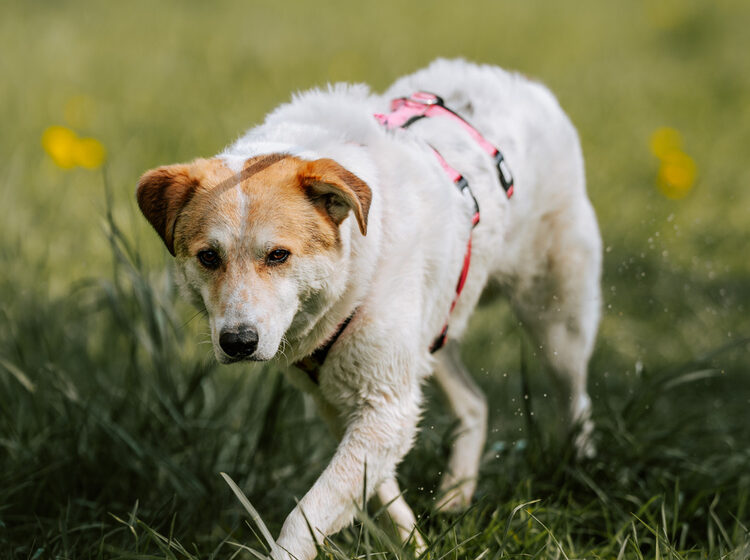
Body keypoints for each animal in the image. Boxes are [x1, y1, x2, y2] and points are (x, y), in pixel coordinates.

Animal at [136, 58, 602, 560]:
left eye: (278, 255)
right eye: (208, 257)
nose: (238, 342)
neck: (356, 271)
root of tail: (519, 82)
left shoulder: (383, 403)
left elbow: (307, 513)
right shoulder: (340, 402)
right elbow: (373, 490)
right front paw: (415, 544)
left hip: (558, 317)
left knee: (576, 395)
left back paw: (581, 470)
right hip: (431, 331)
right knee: (475, 403)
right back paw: (455, 496)